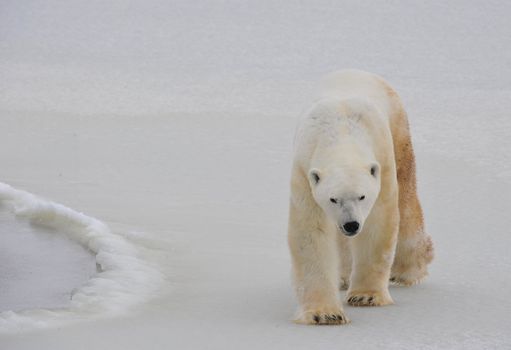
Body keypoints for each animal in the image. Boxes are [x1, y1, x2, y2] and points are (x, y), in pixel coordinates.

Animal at [288, 69, 432, 326]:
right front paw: (324, 313)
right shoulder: (304, 170)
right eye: (333, 199)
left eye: (362, 196)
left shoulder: (382, 160)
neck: (342, 133)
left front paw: (366, 296)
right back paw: (343, 276)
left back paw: (408, 270)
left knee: (407, 200)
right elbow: (311, 231)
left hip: (399, 131)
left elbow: (378, 224)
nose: (351, 224)